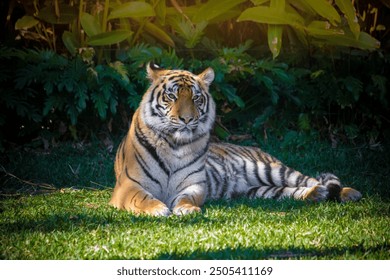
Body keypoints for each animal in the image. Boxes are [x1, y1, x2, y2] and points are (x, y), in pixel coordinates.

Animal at [107, 63, 362, 217]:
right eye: (171, 96)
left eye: (196, 98)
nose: (187, 119)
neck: (174, 145)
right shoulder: (128, 185)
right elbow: (141, 197)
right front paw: (157, 209)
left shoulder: (195, 184)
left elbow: (187, 197)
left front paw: (187, 209)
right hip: (262, 191)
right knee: (295, 191)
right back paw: (316, 195)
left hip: (272, 170)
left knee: (311, 179)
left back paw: (350, 193)